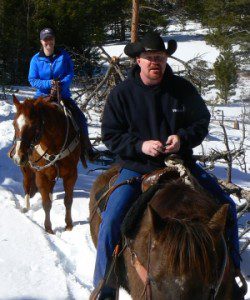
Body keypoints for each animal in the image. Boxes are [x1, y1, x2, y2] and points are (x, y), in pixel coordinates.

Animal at [9, 96, 80, 234]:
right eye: (14, 124)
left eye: (33, 126)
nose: (18, 157)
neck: (55, 146)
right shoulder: (42, 176)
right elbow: (46, 203)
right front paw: (48, 228)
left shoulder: (71, 175)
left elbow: (68, 200)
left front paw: (69, 225)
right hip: (26, 170)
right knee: (26, 186)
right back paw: (26, 207)